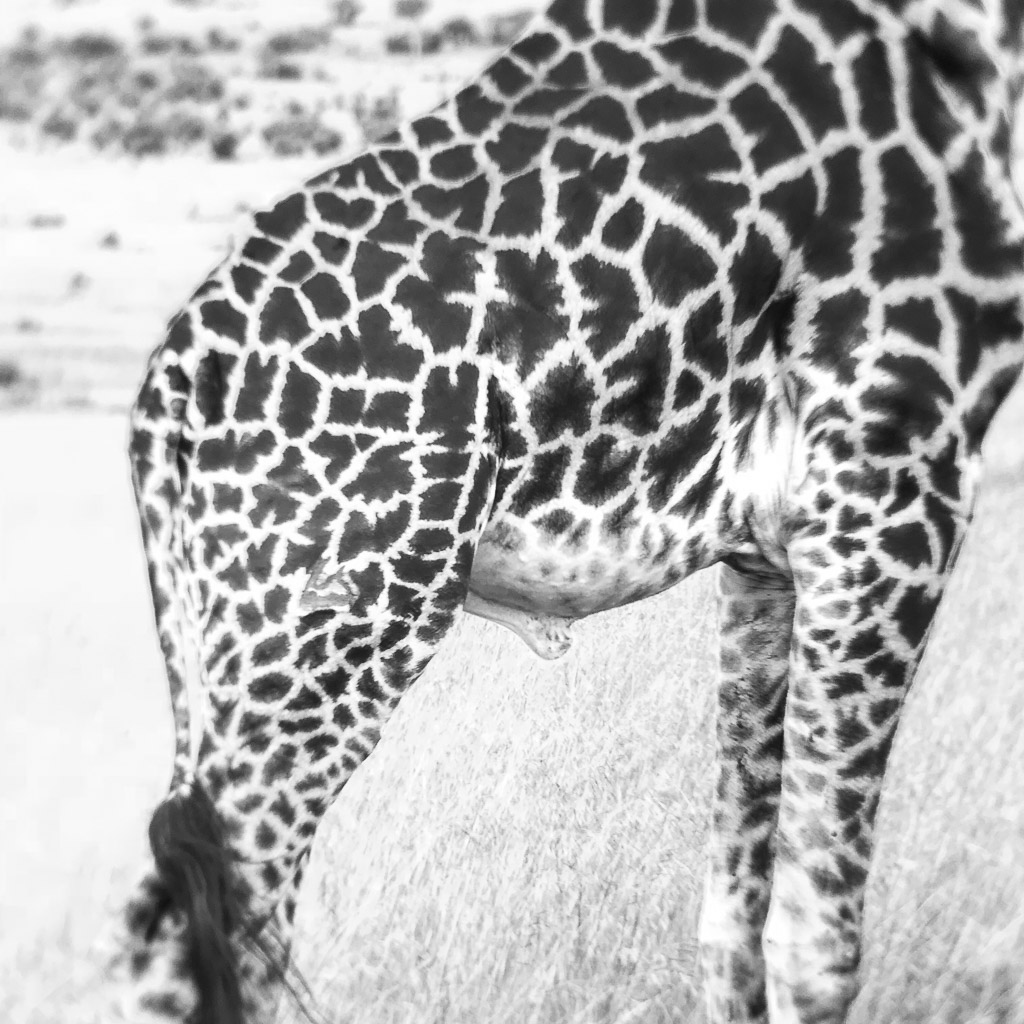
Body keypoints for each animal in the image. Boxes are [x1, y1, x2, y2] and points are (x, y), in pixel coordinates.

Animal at [101, 0, 1024, 1019]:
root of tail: (169, 384)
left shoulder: (767, 553)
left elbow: (729, 923)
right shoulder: (893, 474)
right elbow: (816, 944)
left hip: (231, 642)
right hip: (330, 631)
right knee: (223, 938)